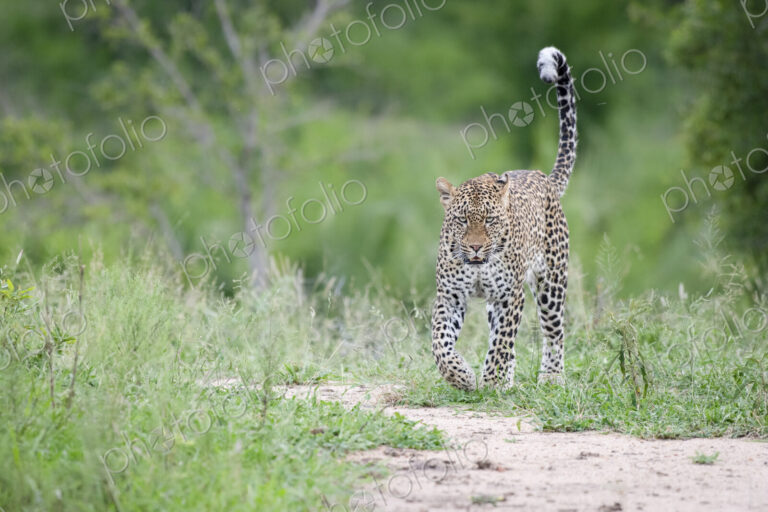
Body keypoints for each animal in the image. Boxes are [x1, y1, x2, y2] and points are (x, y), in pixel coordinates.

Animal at [431, 46, 576, 391]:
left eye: (490, 220)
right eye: (462, 220)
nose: (474, 248)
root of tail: (543, 177)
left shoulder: (510, 295)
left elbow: (502, 341)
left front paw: (493, 380)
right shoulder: (450, 297)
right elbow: (439, 343)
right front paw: (461, 376)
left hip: (551, 282)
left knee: (554, 331)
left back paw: (551, 376)